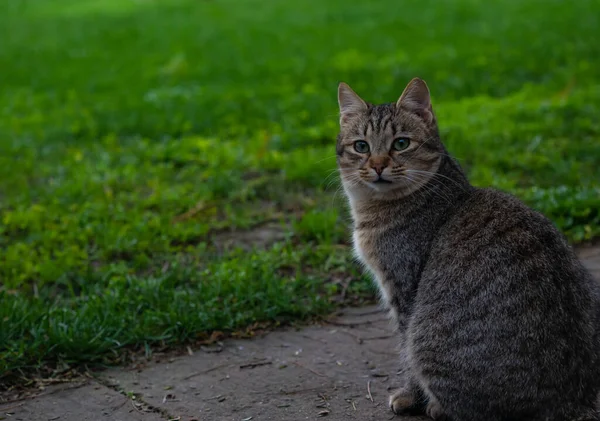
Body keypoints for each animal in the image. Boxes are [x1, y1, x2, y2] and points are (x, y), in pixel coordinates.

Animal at [336, 77, 600, 418]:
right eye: (361, 146)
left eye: (401, 143)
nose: (378, 165)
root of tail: (571, 402)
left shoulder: (403, 291)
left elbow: (405, 353)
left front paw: (409, 397)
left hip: (428, 334)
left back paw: (437, 407)